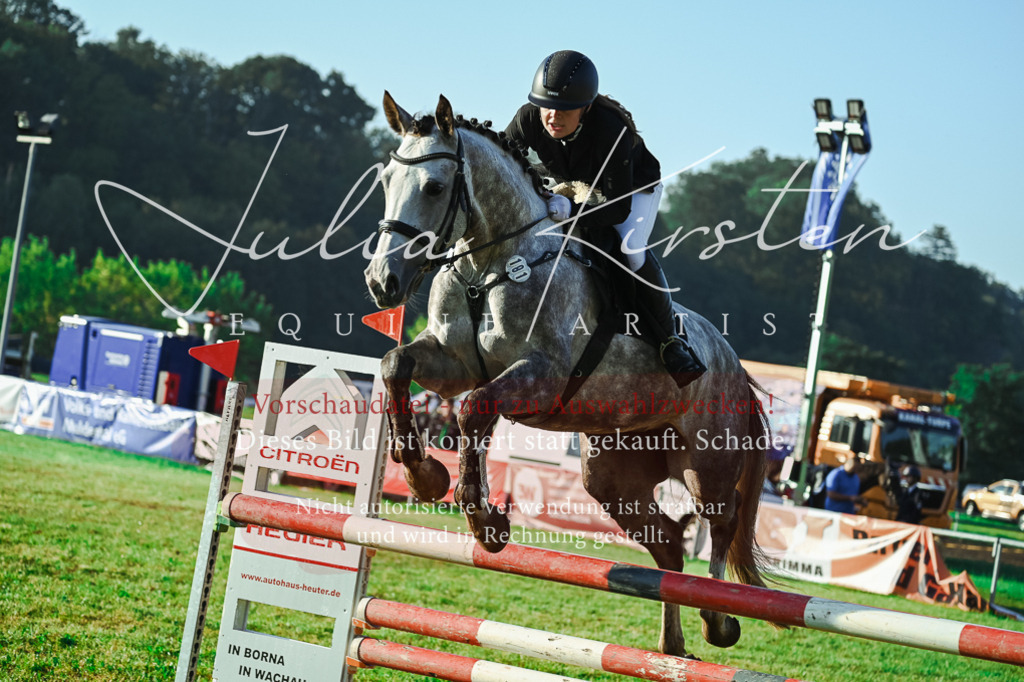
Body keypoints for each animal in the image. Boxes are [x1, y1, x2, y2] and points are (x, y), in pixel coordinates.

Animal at [363, 91, 776, 658]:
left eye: (434, 187)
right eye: (386, 181)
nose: (382, 282)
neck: (489, 265)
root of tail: (736, 368)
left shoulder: (541, 377)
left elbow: (473, 410)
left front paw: (486, 523)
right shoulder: (453, 363)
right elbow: (395, 365)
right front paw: (424, 475)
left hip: (708, 462)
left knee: (722, 520)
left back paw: (719, 620)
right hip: (613, 476)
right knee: (669, 545)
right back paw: (671, 649)